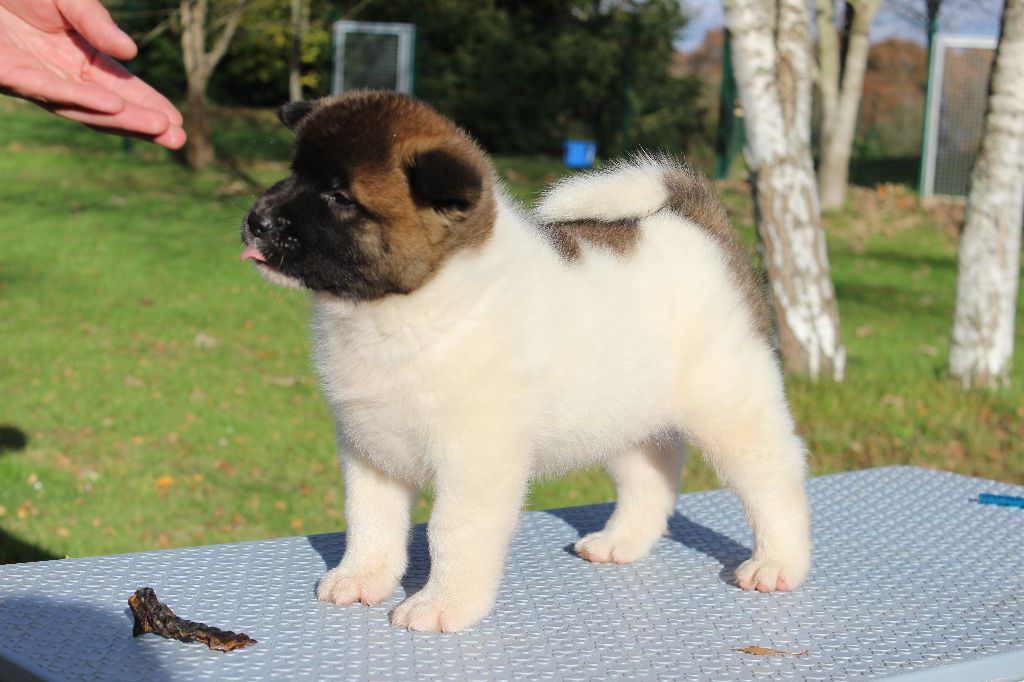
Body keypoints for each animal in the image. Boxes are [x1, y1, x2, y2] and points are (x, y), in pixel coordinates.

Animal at [241, 91, 811, 633]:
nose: (254, 221)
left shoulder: (475, 461)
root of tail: (696, 223)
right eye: (293, 174)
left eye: (339, 196)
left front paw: (443, 605)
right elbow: (370, 522)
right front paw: (363, 578)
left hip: (730, 405)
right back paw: (621, 541)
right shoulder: (369, 449)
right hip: (622, 415)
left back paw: (778, 564)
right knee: (654, 476)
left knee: (774, 479)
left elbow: (452, 530)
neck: (414, 306)